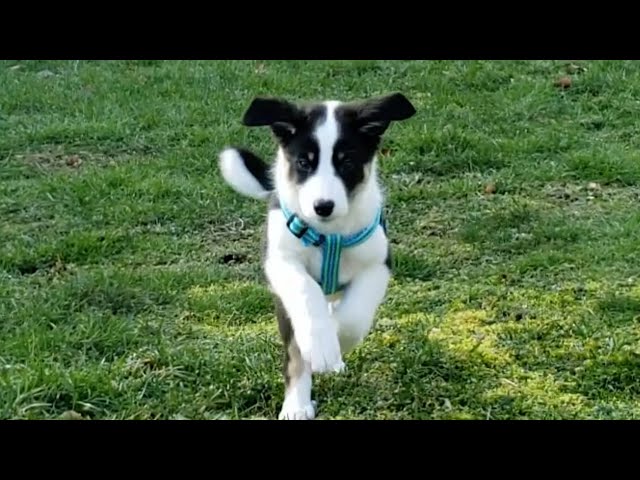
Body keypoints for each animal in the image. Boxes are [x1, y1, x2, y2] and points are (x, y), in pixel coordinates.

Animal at [218, 92, 418, 418]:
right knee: (295, 351)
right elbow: (305, 291)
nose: (323, 206)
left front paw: (334, 344)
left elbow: (354, 315)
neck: (329, 233)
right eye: (304, 162)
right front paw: (319, 345)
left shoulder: (378, 264)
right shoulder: (280, 261)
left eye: (346, 162)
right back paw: (297, 405)